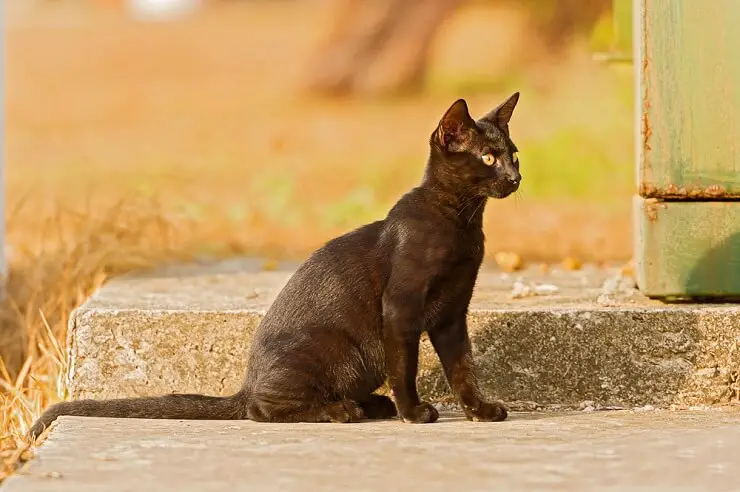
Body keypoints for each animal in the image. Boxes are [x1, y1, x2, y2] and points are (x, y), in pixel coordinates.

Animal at [30, 93, 520, 438]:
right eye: (488, 158)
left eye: (514, 154)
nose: (515, 178)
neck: (461, 223)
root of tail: (247, 381)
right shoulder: (401, 309)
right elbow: (407, 367)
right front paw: (413, 413)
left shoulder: (453, 312)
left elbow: (462, 367)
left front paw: (480, 411)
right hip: (339, 350)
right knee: (260, 409)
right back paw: (343, 410)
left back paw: (369, 405)